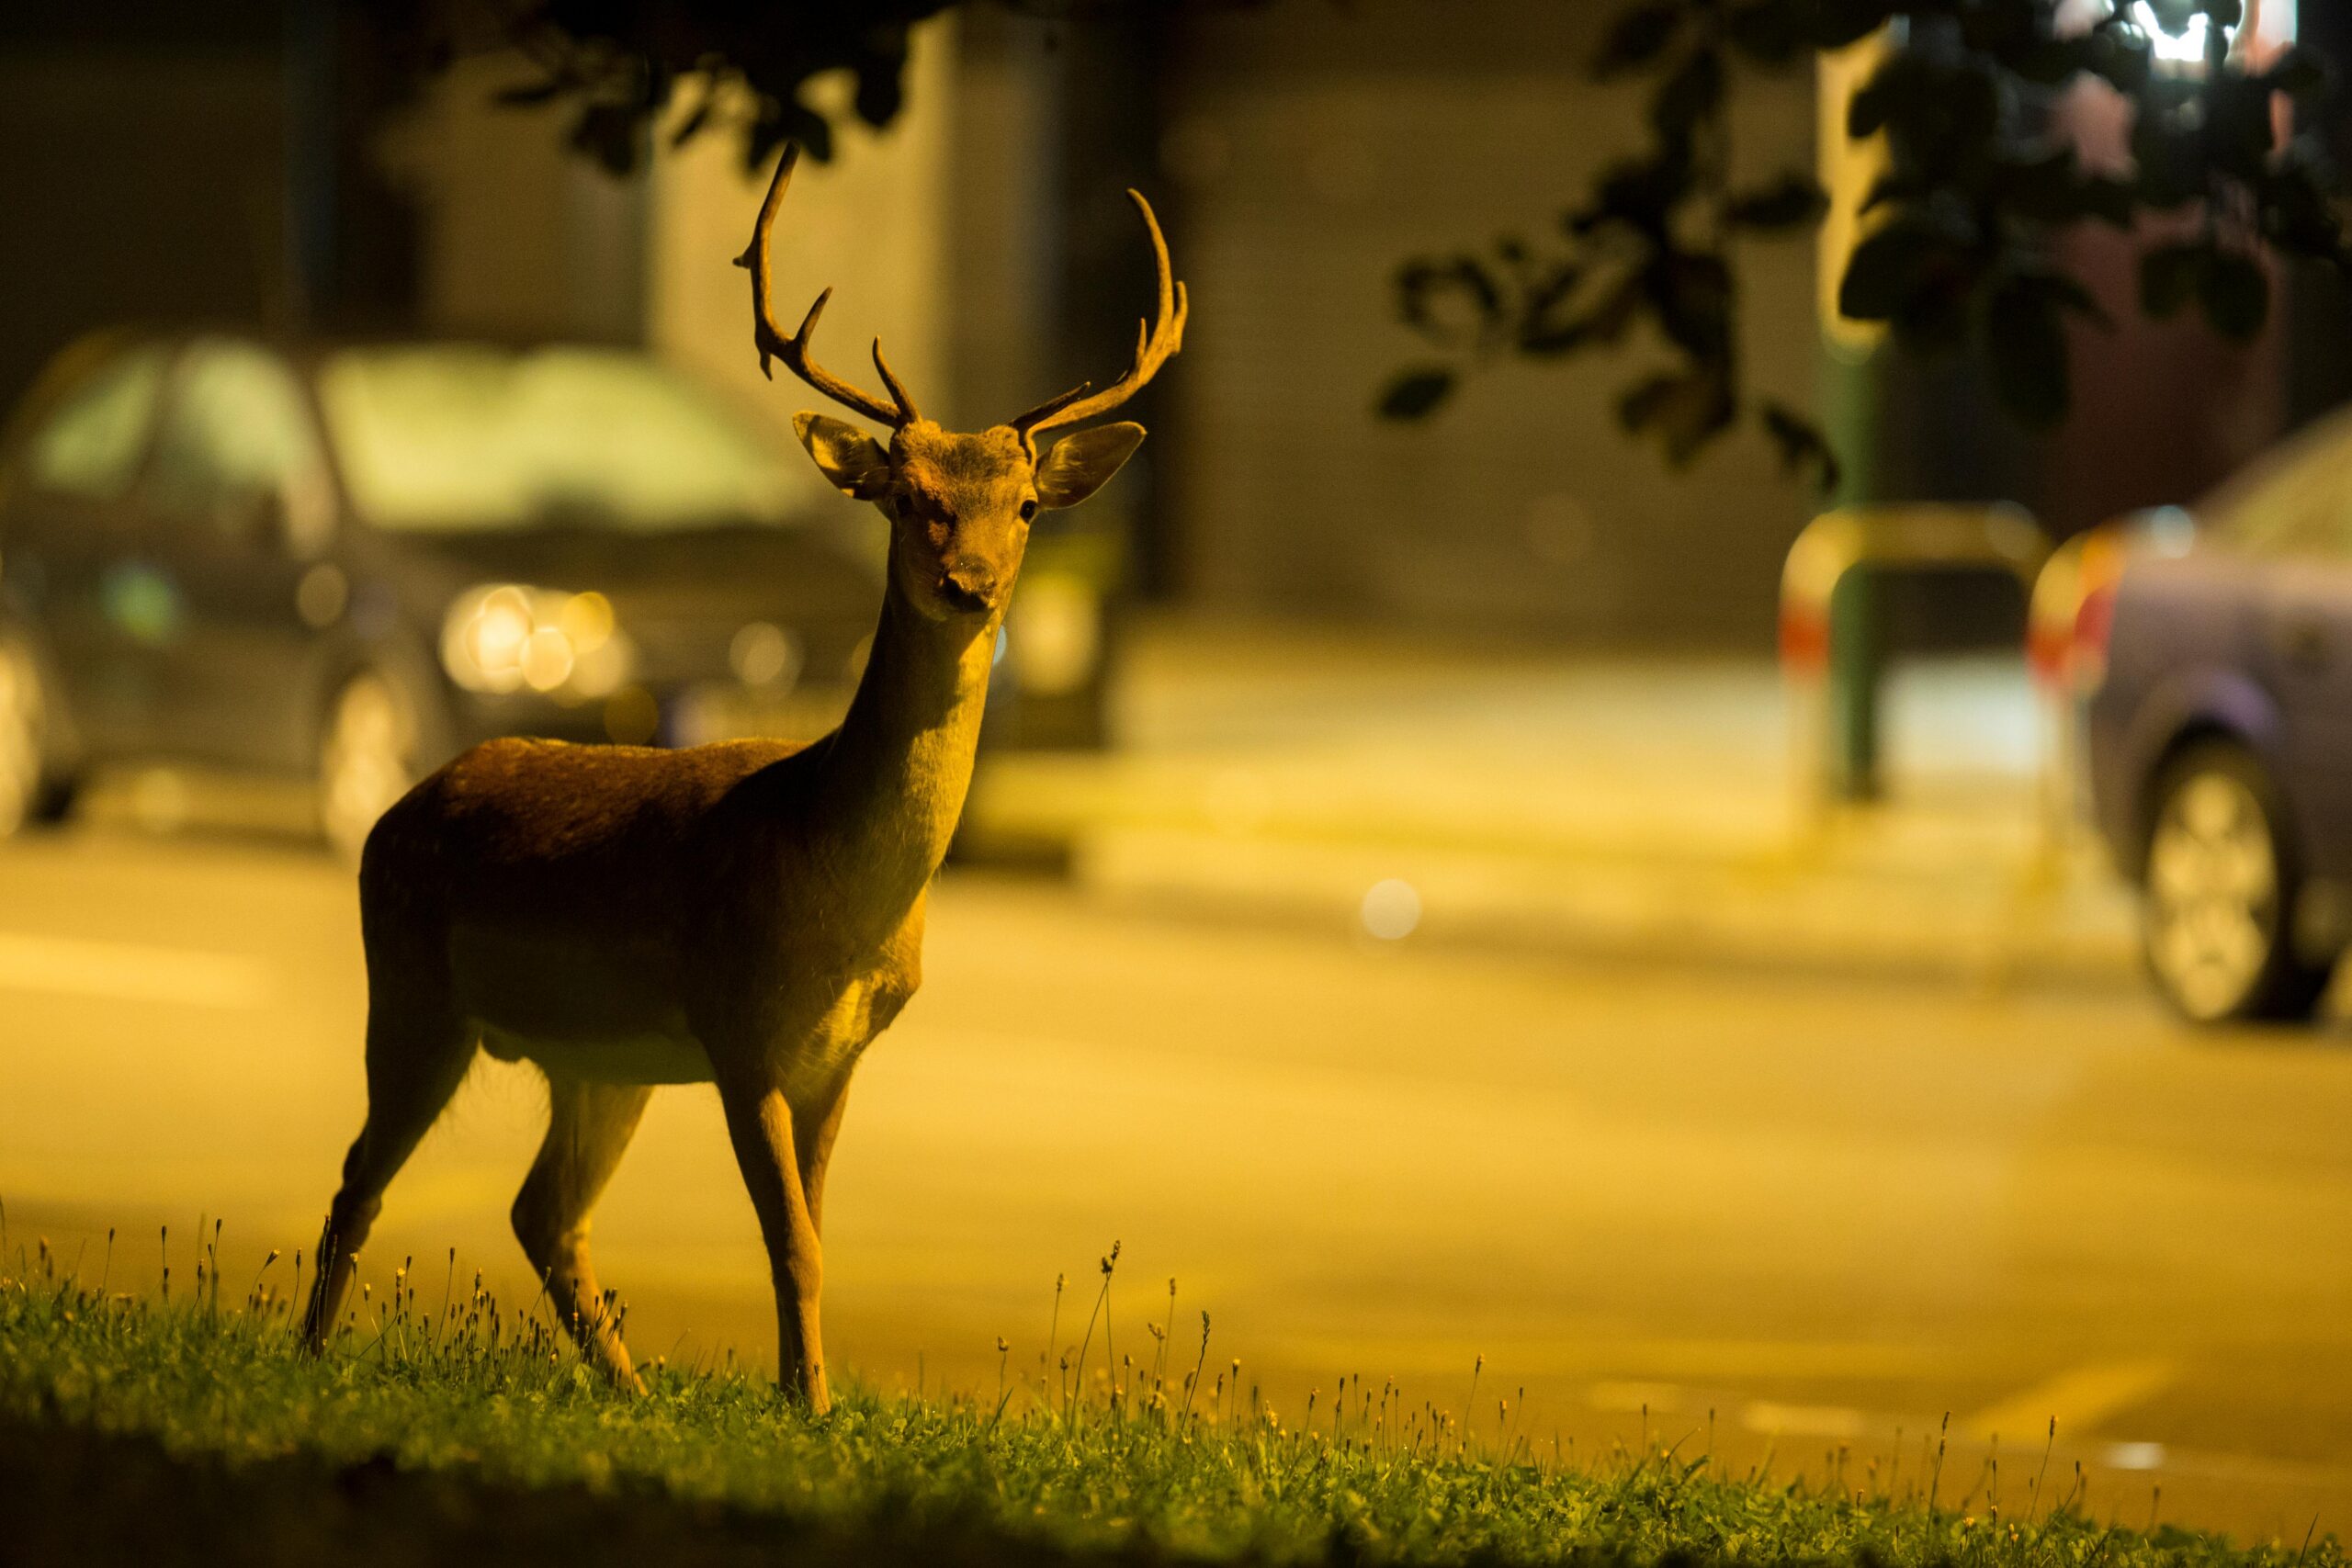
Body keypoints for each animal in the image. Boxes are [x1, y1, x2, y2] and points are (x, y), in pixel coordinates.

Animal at [297, 142, 1185, 1412]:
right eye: (909, 497)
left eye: (1021, 504)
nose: (971, 585)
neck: (836, 894)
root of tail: (397, 808)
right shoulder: (740, 1030)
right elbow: (791, 1240)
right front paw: (808, 1405)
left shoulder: (833, 1060)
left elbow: (813, 1231)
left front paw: (798, 1398)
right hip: (414, 991)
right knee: (358, 1180)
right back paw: (311, 1356)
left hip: (593, 1061)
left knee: (538, 1213)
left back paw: (630, 1393)